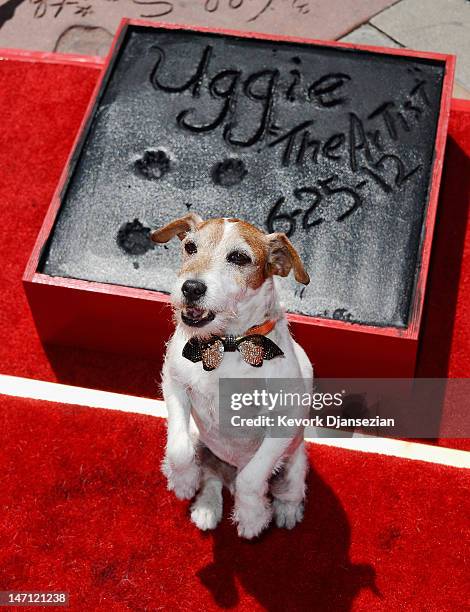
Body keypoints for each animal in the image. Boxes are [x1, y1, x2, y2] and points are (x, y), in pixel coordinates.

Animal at [151, 213, 312, 536]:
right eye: (190, 247)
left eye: (239, 257)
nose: (191, 287)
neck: (228, 345)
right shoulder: (174, 384)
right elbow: (179, 449)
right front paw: (183, 480)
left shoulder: (285, 420)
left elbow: (252, 478)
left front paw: (252, 516)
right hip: (202, 441)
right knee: (211, 476)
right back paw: (206, 506)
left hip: (294, 462)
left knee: (287, 488)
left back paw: (286, 510)